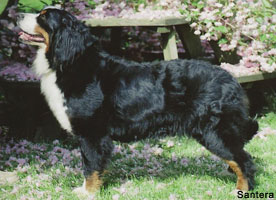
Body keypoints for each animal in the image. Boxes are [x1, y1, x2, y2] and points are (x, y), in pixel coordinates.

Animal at [18, 8, 258, 197]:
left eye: (43, 16)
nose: (18, 14)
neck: (70, 63)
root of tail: (231, 79)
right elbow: (97, 165)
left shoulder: (91, 133)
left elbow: (90, 165)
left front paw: (87, 192)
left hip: (214, 133)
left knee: (243, 160)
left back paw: (241, 190)